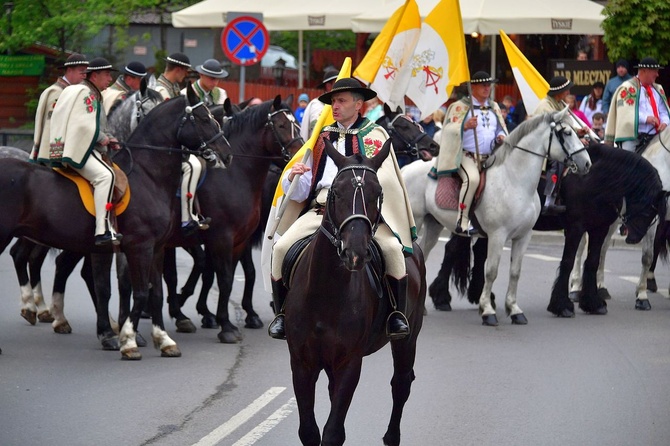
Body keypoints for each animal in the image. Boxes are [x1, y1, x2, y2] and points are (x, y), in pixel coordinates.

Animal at [0, 83, 234, 358]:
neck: (147, 175)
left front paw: (163, 339)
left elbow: (154, 292)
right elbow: (139, 291)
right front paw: (129, 339)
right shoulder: (139, 247)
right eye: (203, 119)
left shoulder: (156, 248)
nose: (227, 155)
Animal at [286, 138, 428, 444]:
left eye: (378, 193)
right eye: (336, 193)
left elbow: (332, 432)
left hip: (408, 340)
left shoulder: (349, 363)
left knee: (401, 384)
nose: (355, 252)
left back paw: (392, 436)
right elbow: (309, 431)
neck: (325, 293)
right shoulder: (302, 363)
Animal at [402, 108, 592, 324]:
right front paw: (487, 311)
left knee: (423, 255)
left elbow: (515, 272)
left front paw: (515, 310)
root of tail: (406, 168)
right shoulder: (497, 236)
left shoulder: (524, 236)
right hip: (416, 221)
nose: (586, 163)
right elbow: (491, 271)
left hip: (434, 225)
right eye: (567, 133)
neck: (515, 181)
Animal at [430, 144, 668, 318]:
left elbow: (592, 261)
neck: (594, 180)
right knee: (452, 249)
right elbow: (568, 262)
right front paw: (562, 305)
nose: (634, 238)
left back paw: (479, 295)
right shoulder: (576, 228)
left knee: (479, 254)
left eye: (654, 212)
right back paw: (441, 297)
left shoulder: (598, 229)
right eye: (647, 207)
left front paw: (592, 302)